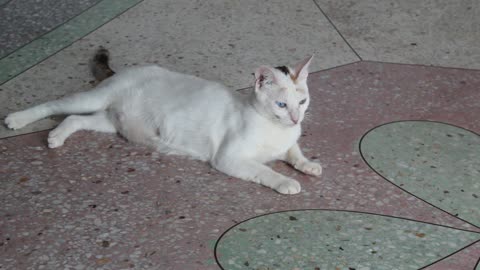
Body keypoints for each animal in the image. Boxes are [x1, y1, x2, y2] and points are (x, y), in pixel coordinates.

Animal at [4, 47, 322, 193]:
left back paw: (57, 136)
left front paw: (308, 164)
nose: (296, 118)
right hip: (92, 99)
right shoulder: (229, 158)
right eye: (281, 104)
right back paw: (17, 118)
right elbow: (264, 170)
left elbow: (294, 151)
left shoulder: (288, 141)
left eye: (302, 102)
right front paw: (285, 181)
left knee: (73, 119)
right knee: (55, 106)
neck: (275, 129)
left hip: (109, 122)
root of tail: (124, 71)